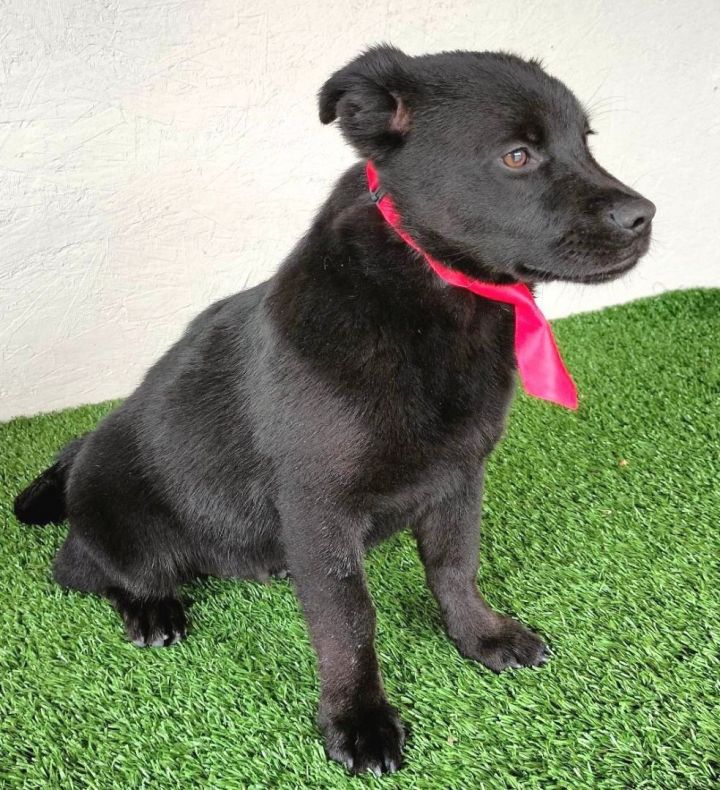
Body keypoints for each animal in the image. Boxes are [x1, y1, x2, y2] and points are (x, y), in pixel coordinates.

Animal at [14, 46, 656, 776]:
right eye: (517, 156)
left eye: (586, 141)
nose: (645, 216)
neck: (430, 307)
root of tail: (80, 453)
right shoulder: (321, 512)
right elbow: (349, 623)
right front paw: (360, 721)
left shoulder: (459, 478)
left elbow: (455, 568)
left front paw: (481, 636)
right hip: (130, 537)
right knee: (85, 569)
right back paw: (151, 611)